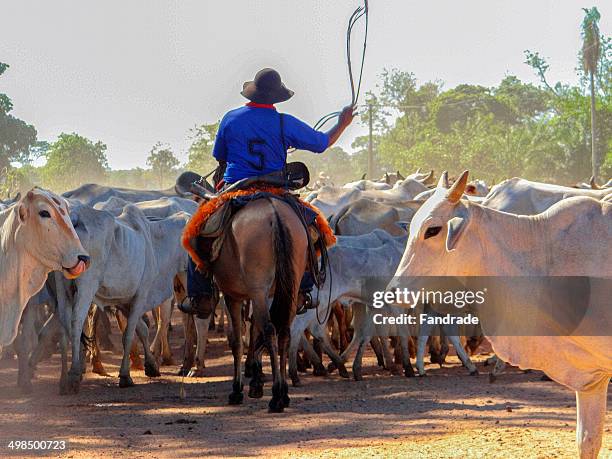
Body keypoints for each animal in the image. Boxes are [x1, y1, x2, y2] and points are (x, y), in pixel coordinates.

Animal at [55, 206, 189, 396]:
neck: (155, 243)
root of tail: (74, 218)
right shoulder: (141, 295)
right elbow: (129, 335)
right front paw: (125, 375)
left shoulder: (124, 301)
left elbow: (143, 329)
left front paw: (151, 365)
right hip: (86, 287)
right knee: (75, 325)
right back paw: (73, 375)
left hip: (62, 289)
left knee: (63, 330)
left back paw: (63, 380)